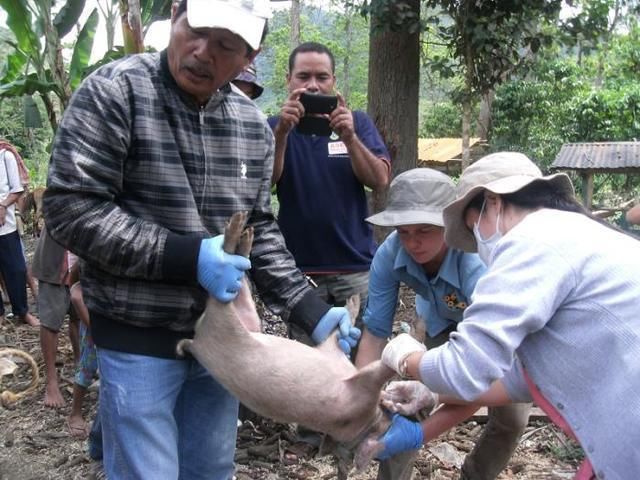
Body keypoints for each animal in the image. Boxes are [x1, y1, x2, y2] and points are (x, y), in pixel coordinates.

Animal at [176, 213, 396, 472]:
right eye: (384, 427)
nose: (391, 414)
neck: (364, 419)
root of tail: (196, 340)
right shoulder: (357, 385)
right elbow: (373, 368)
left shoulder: (334, 358)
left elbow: (336, 337)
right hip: (224, 322)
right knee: (225, 286)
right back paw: (238, 230)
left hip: (244, 320)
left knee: (237, 288)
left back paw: (245, 235)